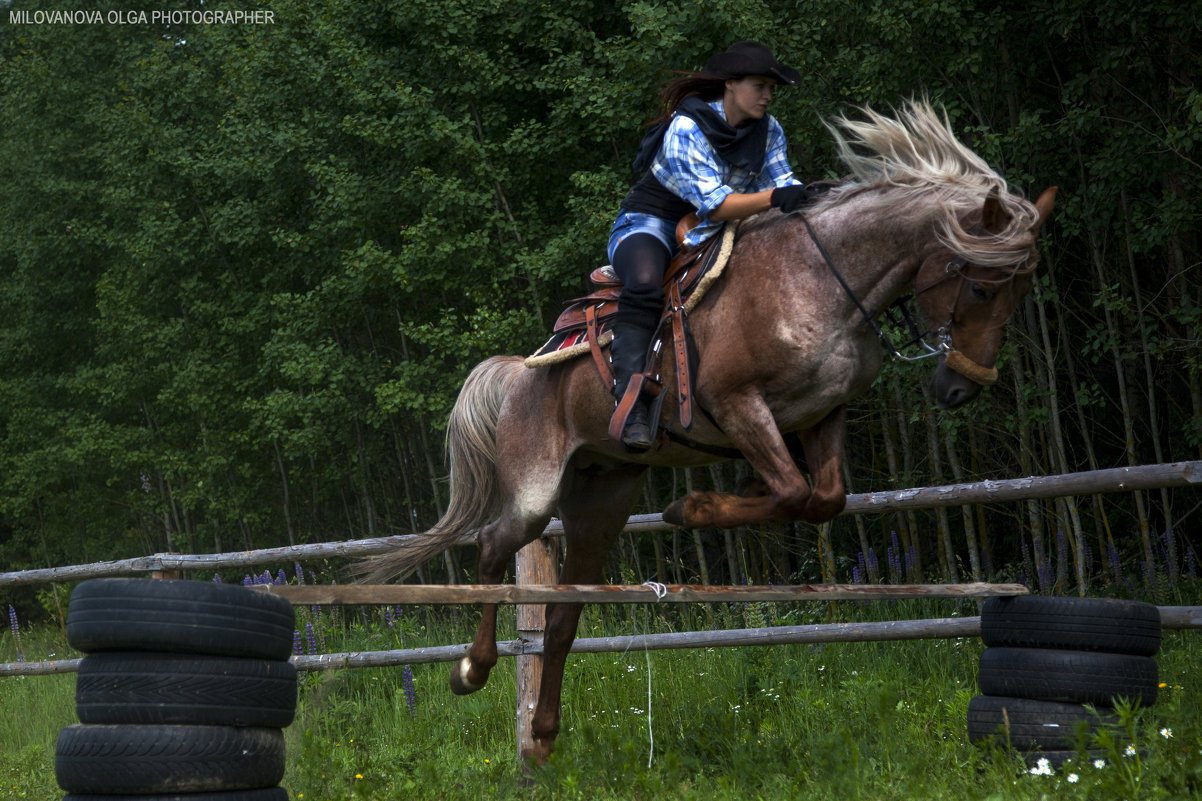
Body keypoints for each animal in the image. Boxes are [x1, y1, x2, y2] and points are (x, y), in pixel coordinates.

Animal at [360, 99, 1057, 760]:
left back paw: (546, 731)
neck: (821, 278)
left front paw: (714, 502)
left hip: (600, 502)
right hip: (536, 491)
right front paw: (691, 510)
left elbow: (821, 497)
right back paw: (471, 670)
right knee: (492, 546)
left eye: (1021, 290)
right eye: (982, 286)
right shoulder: (738, 404)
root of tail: (521, 371)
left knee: (560, 619)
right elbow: (792, 490)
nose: (961, 387)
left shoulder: (820, 414)